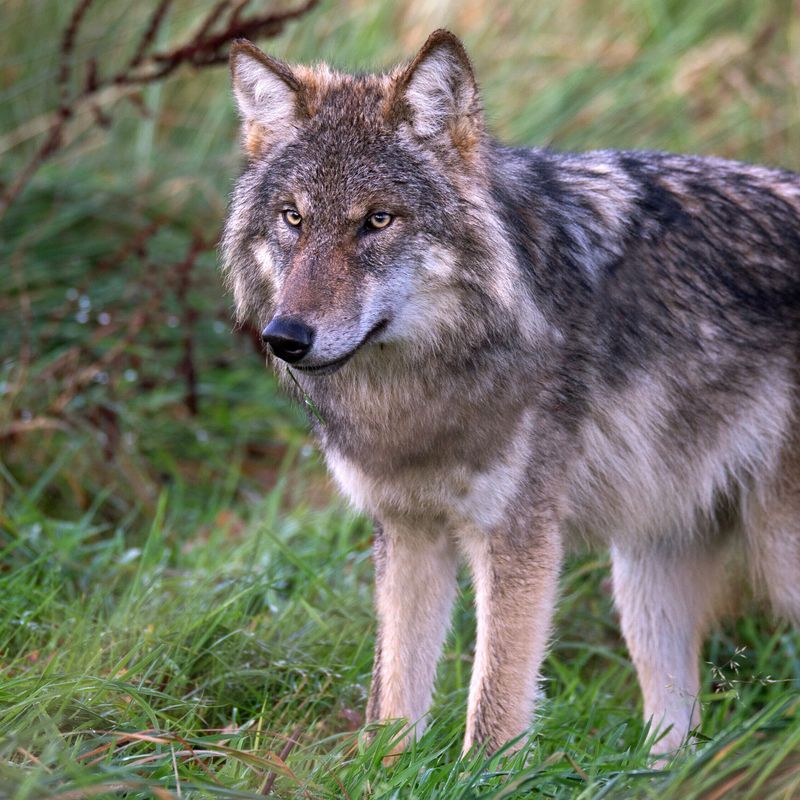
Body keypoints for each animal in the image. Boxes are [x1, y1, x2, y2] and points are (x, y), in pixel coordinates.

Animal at [221, 29, 800, 759]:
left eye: (377, 220)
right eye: (293, 218)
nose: (285, 338)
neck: (416, 393)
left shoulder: (518, 535)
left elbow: (493, 707)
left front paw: (482, 772)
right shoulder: (407, 532)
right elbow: (393, 702)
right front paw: (388, 769)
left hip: (772, 552)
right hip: (648, 572)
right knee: (677, 735)